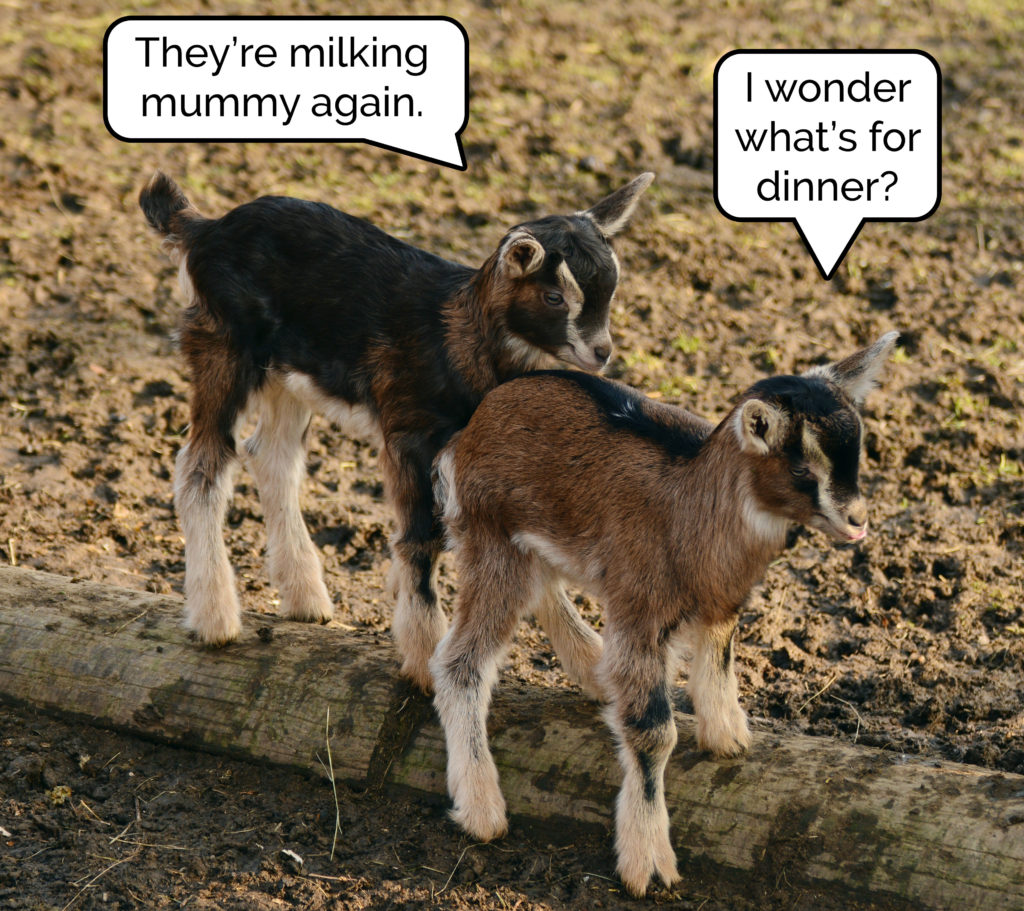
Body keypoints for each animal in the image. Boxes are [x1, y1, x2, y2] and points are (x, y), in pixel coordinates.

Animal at [139, 171, 654, 689]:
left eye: (610, 291)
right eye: (554, 297)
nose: (601, 352)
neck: (458, 340)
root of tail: (204, 229)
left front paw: (590, 665)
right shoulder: (409, 435)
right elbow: (421, 538)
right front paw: (424, 658)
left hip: (289, 373)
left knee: (271, 457)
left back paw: (306, 598)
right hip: (223, 344)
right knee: (202, 466)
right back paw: (215, 619)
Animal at [430, 332, 898, 896]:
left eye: (857, 453)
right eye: (802, 467)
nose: (858, 520)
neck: (690, 507)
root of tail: (472, 427)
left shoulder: (720, 602)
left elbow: (718, 657)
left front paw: (728, 738)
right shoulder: (640, 612)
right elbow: (653, 731)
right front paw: (649, 862)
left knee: (543, 588)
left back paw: (593, 671)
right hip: (491, 538)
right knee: (460, 662)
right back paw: (482, 809)